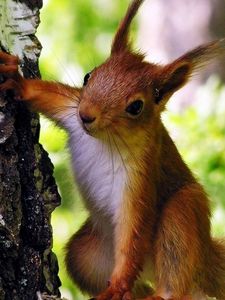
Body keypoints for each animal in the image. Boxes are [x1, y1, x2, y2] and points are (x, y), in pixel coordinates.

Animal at [0, 0, 225, 300]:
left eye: (136, 107)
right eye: (88, 76)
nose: (86, 115)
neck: (105, 140)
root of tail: (207, 259)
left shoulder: (140, 178)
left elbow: (133, 233)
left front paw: (117, 286)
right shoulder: (70, 109)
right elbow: (48, 96)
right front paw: (17, 81)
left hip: (184, 214)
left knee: (174, 279)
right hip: (87, 254)